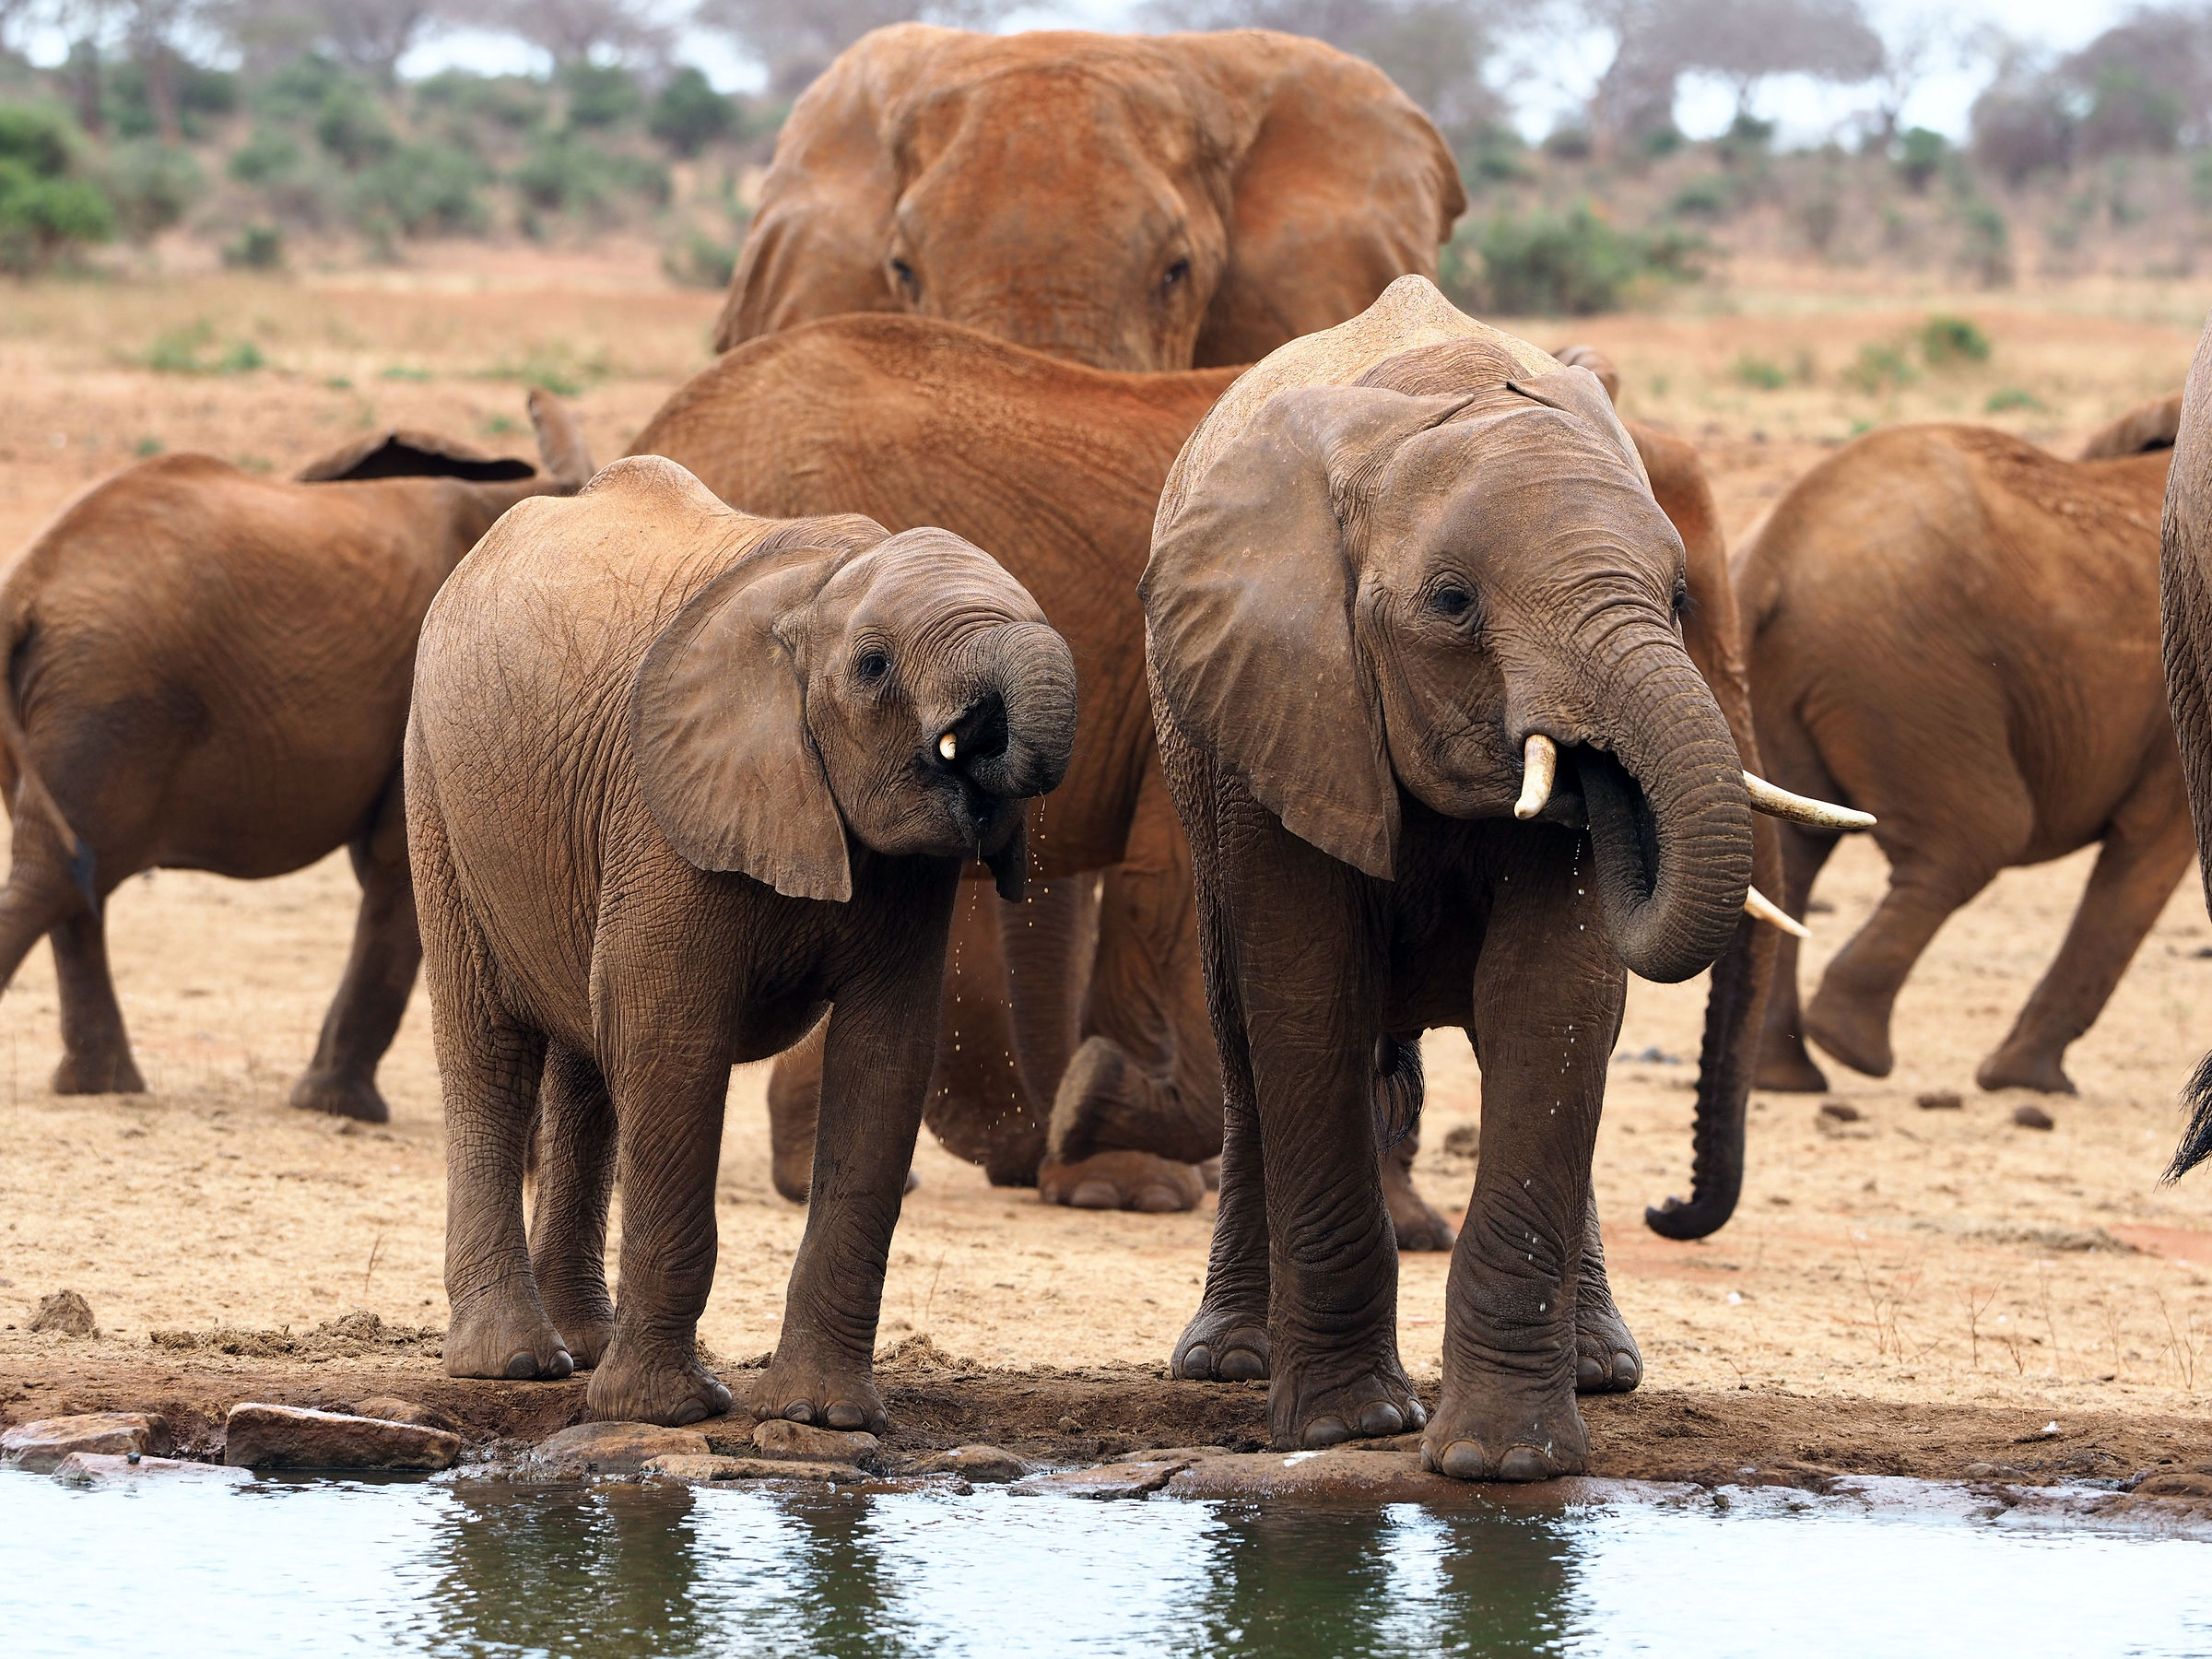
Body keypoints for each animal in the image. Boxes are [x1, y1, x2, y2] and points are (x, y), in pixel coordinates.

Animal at [0, 393, 591, 1121]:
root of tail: (25, 586)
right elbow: (397, 865)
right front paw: (342, 1110)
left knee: (68, 874)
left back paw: (102, 1086)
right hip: (111, 693)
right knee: (61, 874)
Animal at [407, 456, 1077, 1427]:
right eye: (873, 666)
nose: (979, 744)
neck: (823, 584)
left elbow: (884, 1059)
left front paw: (820, 1418)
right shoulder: (666, 805)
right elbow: (670, 1039)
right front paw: (663, 1413)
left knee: (585, 1065)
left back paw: (585, 1347)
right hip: (437, 785)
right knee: (489, 1048)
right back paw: (517, 1365)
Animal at [1138, 276, 1840, 1476]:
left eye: (1677, 600)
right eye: (1454, 604)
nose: (1672, 1208)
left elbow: (1550, 1000)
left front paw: (1505, 1465)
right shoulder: (1280, 695)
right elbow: (1310, 993)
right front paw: (1346, 1428)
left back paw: (1601, 1370)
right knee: (1244, 1036)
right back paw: (1230, 1361)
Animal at [1746, 395, 2184, 1097]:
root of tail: (1771, 553)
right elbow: (2149, 848)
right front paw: (2029, 1081)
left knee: (1794, 849)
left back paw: (1789, 1074)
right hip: (1912, 671)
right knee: (1979, 836)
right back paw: (1852, 1049)